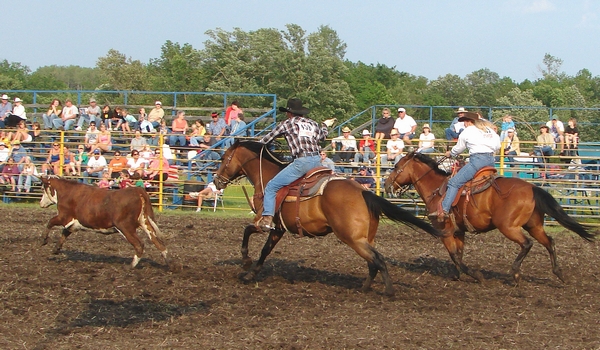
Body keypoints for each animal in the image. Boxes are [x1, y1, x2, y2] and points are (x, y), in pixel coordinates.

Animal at [40, 175, 170, 268]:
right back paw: (169, 263)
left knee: (139, 244)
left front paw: (44, 240)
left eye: (43, 189)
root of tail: (138, 191)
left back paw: (130, 266)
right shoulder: (73, 224)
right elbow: (65, 233)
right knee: (157, 242)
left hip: (125, 227)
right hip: (144, 222)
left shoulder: (63, 217)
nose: (41, 203)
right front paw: (56, 249)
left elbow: (50, 222)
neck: (67, 192)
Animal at [212, 139, 440, 296]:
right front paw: (251, 274)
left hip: (352, 238)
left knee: (378, 260)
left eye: (224, 159)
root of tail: (363, 192)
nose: (216, 181)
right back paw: (364, 287)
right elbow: (265, 251)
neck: (268, 177)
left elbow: (247, 232)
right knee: (373, 261)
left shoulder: (263, 222)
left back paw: (389, 291)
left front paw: (245, 262)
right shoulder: (278, 229)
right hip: (365, 238)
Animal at [384, 152, 596, 284]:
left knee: (527, 244)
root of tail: (532, 188)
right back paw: (559, 273)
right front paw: (457, 275)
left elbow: (454, 255)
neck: (437, 189)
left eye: (396, 167)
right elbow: (459, 254)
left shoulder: (444, 230)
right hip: (534, 225)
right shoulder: (459, 231)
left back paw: (515, 273)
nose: (386, 185)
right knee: (549, 242)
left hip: (508, 227)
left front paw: (475, 275)